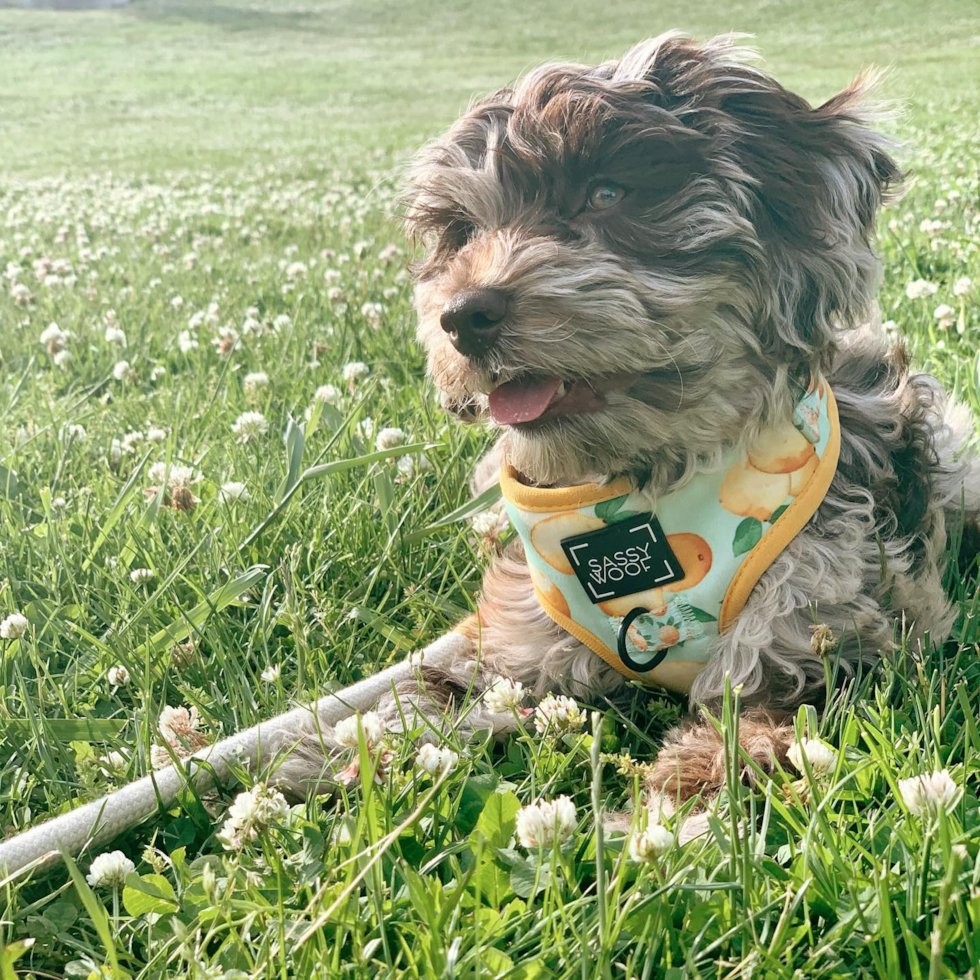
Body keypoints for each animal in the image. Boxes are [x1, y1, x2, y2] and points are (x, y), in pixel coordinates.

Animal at [272, 34, 976, 808]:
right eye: (463, 230)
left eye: (607, 194)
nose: (463, 316)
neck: (645, 487)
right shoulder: (523, 645)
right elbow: (434, 701)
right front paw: (324, 760)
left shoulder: (828, 630)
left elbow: (745, 735)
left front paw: (673, 811)